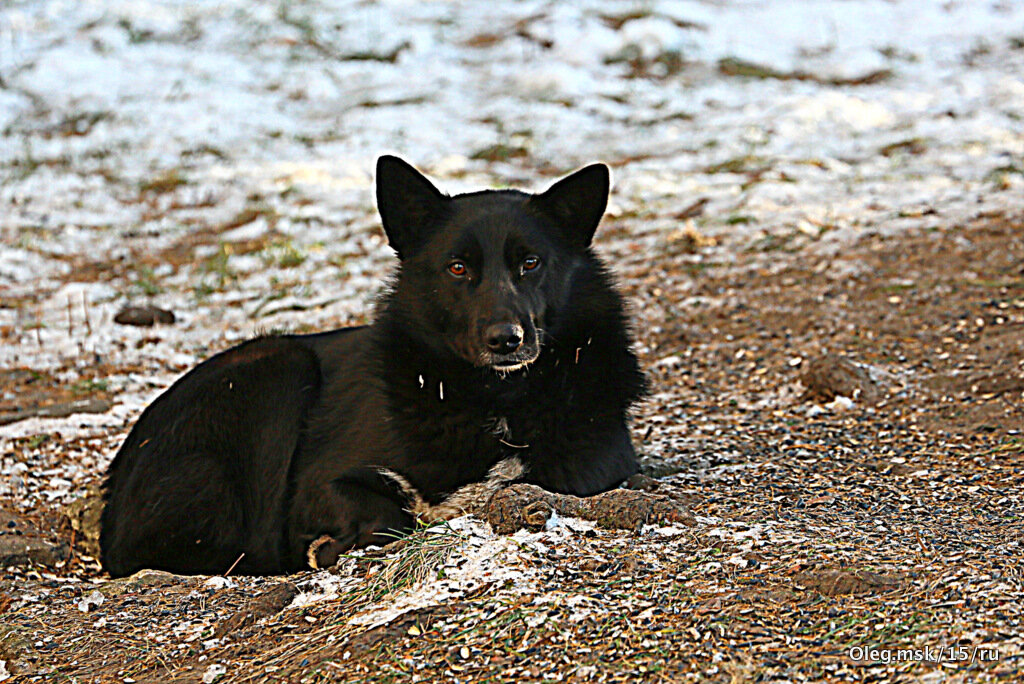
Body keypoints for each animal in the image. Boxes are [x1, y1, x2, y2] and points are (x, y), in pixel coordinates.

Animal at [103, 156, 647, 577]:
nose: (505, 340)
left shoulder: (597, 469)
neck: (493, 398)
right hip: (280, 368)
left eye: (531, 263)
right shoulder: (322, 481)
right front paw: (328, 547)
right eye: (457, 268)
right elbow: (386, 512)